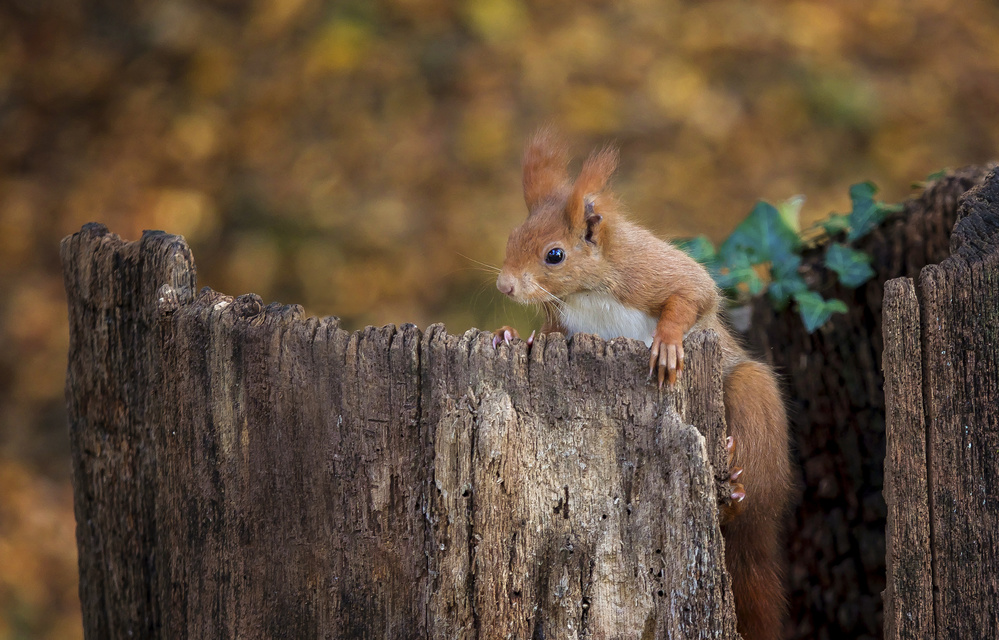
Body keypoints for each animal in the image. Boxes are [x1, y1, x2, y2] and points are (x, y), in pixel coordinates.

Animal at [492, 129, 793, 640]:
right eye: (511, 237)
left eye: (554, 254)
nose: (505, 286)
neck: (589, 292)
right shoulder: (565, 323)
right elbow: (547, 335)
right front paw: (509, 334)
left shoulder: (654, 273)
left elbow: (693, 294)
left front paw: (668, 343)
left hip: (752, 404)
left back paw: (734, 491)